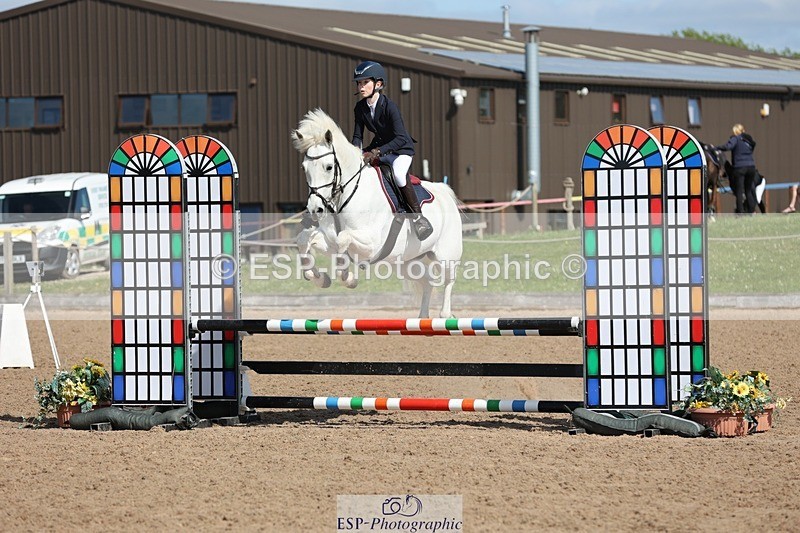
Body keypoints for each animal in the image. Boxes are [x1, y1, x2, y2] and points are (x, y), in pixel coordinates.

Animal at [291, 109, 463, 318]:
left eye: (329, 167)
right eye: (304, 168)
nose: (315, 209)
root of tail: (444, 191)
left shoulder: (372, 243)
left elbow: (343, 239)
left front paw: (348, 277)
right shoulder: (329, 239)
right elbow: (305, 239)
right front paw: (319, 278)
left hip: (446, 254)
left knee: (449, 280)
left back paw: (444, 315)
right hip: (407, 262)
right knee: (427, 281)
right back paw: (423, 317)